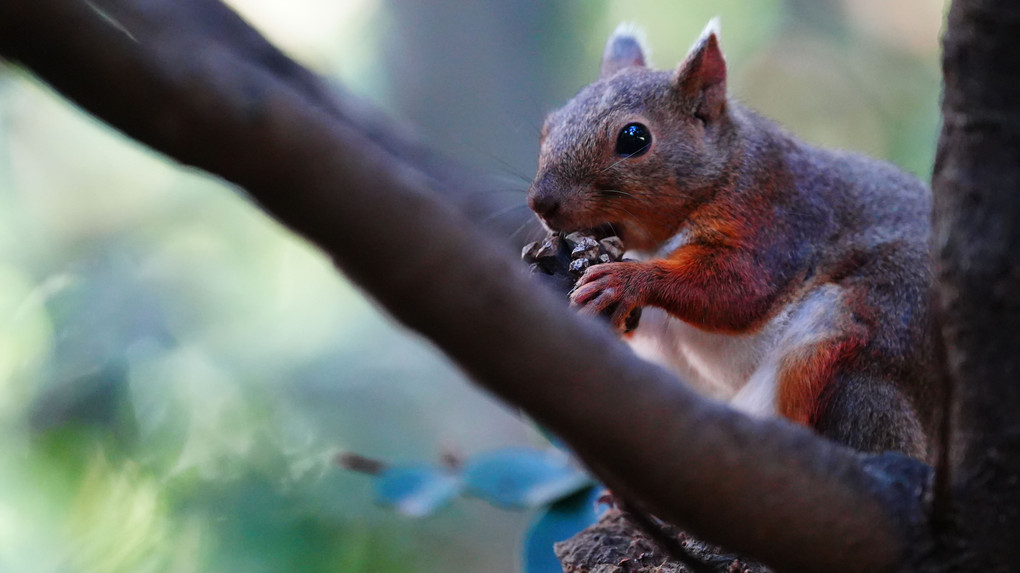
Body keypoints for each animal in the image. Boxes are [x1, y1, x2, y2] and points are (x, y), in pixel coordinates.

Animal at [530, 18, 934, 458]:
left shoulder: (773, 215)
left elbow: (740, 287)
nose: (540, 203)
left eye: (634, 138)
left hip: (868, 332)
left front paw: (626, 280)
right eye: (547, 127)